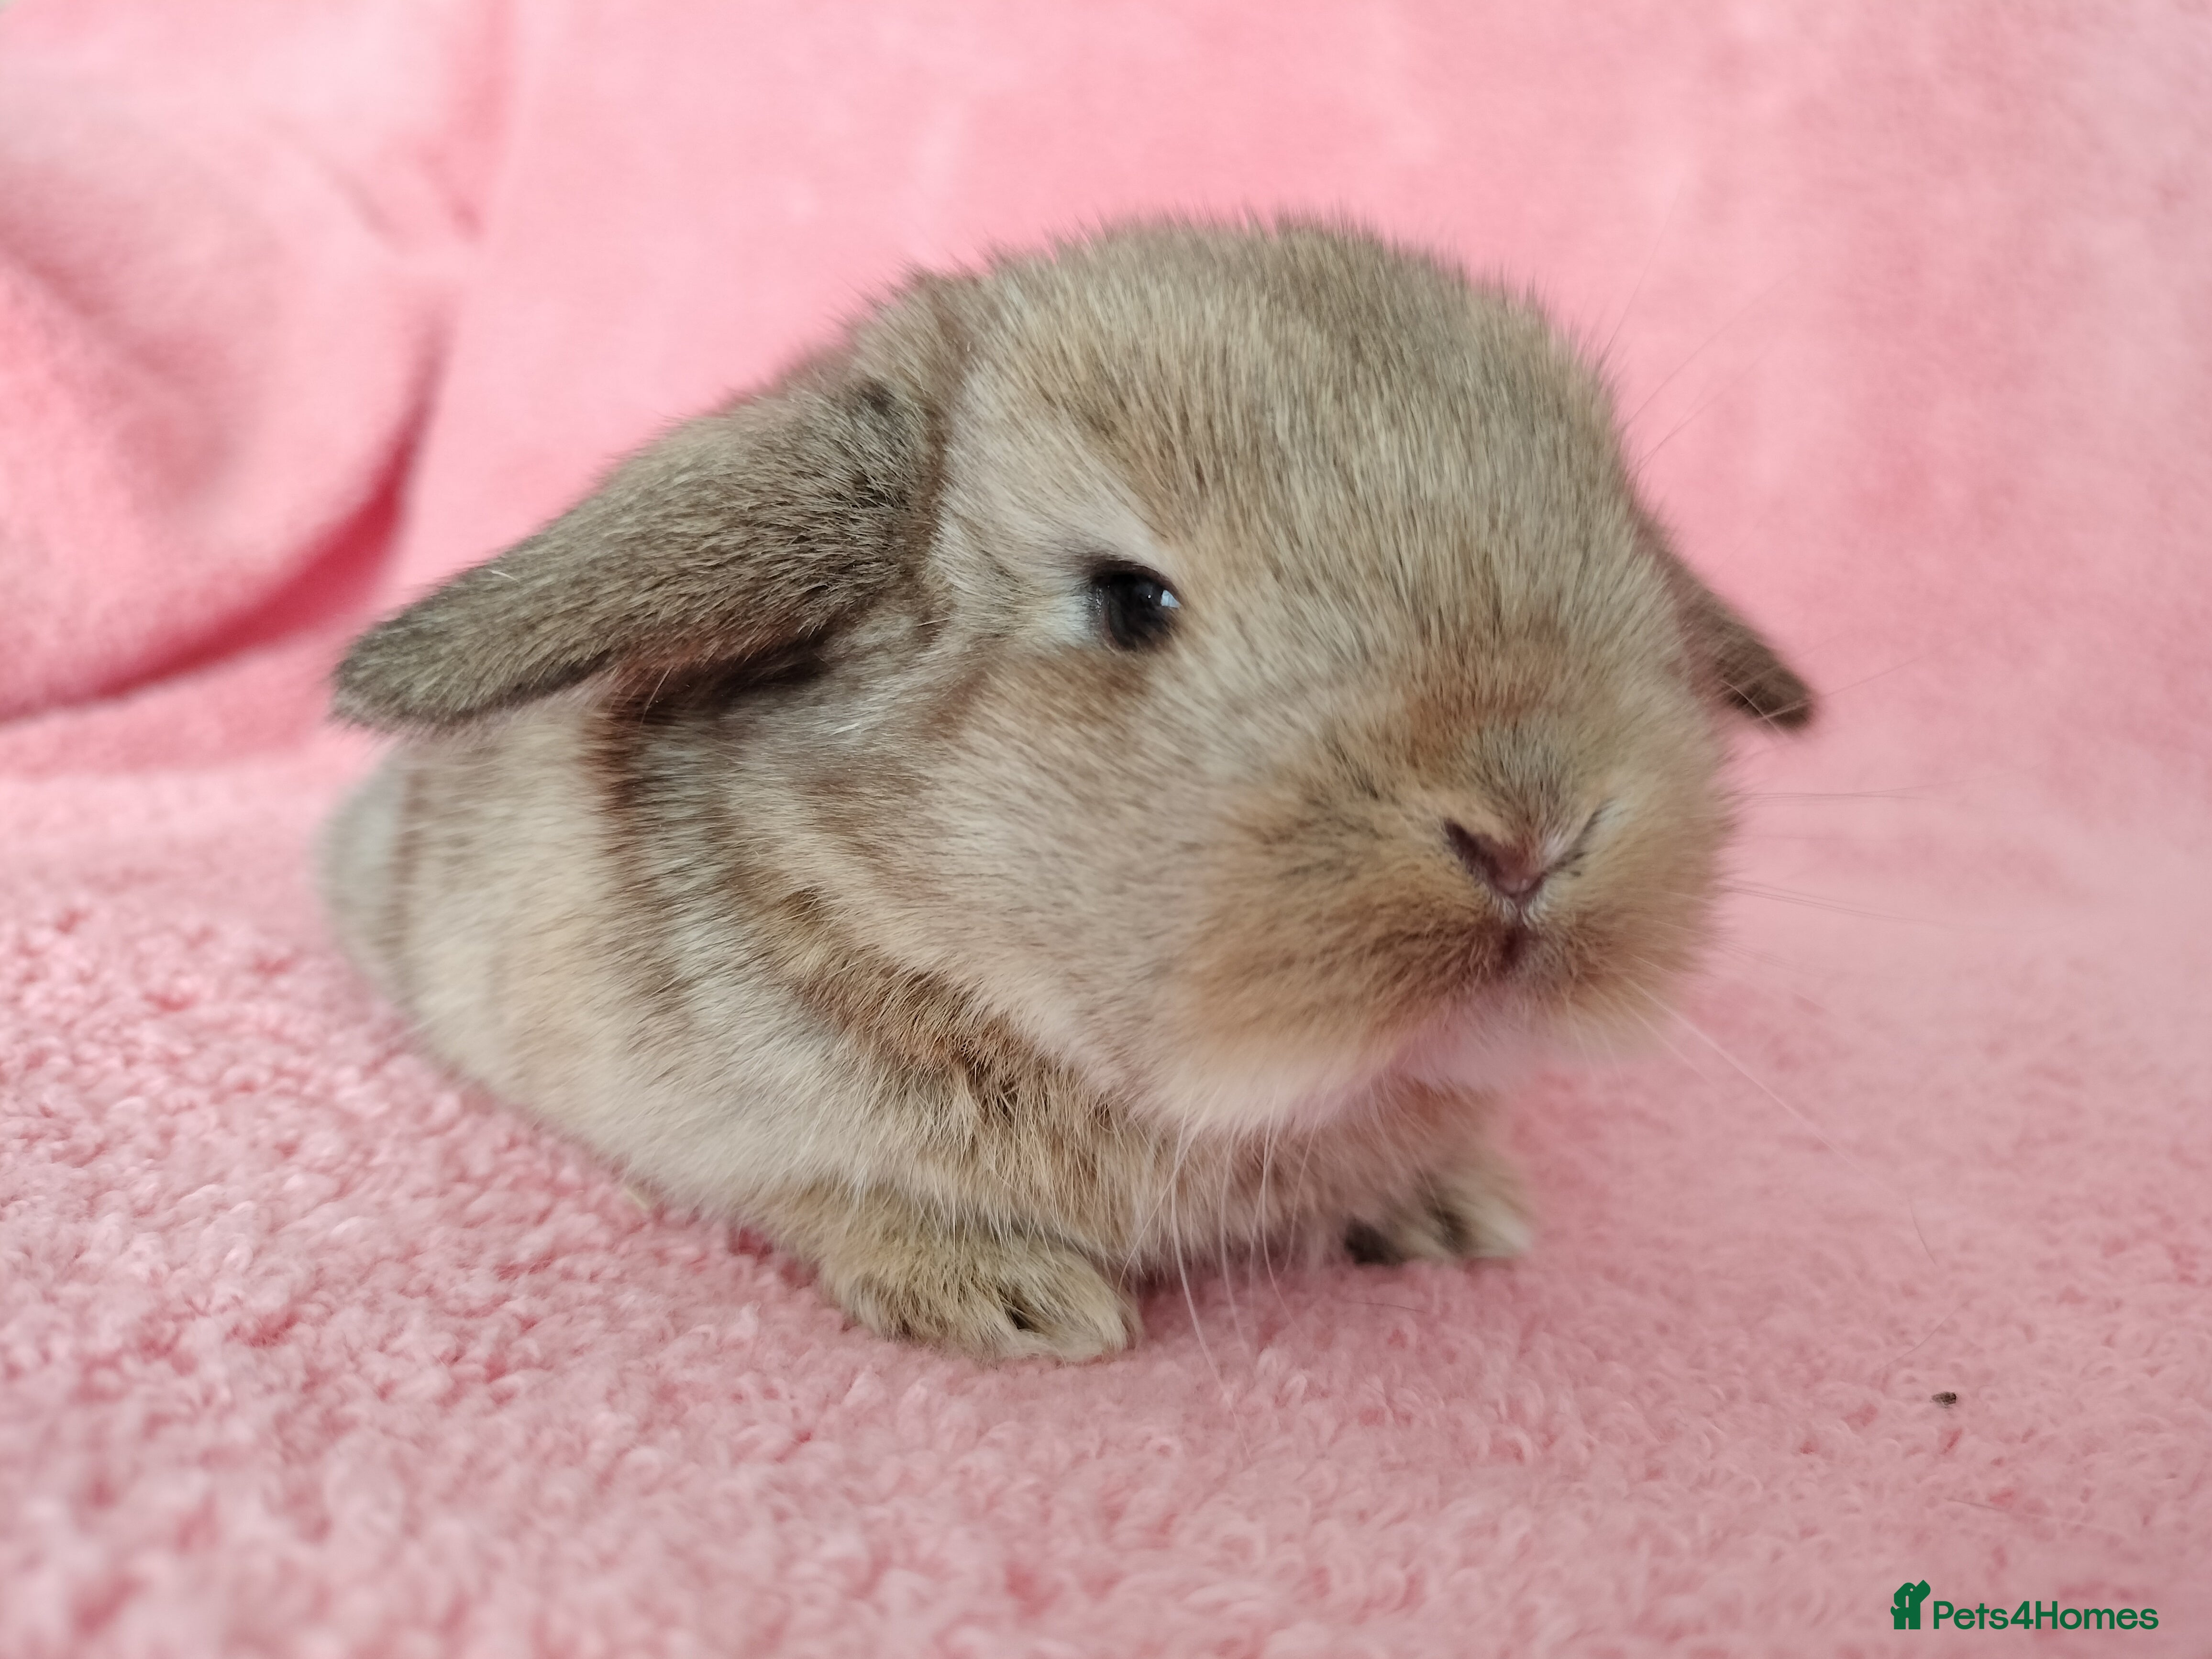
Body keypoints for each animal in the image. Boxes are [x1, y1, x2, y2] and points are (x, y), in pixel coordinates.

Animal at [322, 220, 1813, 1362]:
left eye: (1619, 552)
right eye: (1128, 600)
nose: (1528, 830)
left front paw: (1457, 1214)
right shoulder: (726, 1132)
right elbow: (822, 1192)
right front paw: (1015, 1301)